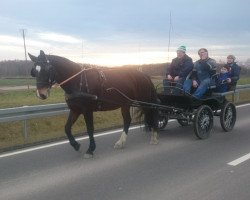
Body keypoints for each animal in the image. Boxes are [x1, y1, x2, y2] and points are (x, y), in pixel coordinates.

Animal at [28, 50, 158, 158]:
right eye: (34, 71)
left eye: (47, 69)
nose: (41, 94)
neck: (78, 81)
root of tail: (145, 75)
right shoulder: (75, 110)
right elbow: (67, 128)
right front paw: (76, 145)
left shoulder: (87, 110)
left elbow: (90, 129)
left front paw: (90, 149)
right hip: (125, 103)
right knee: (127, 120)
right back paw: (121, 142)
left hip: (145, 101)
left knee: (152, 114)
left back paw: (154, 136)